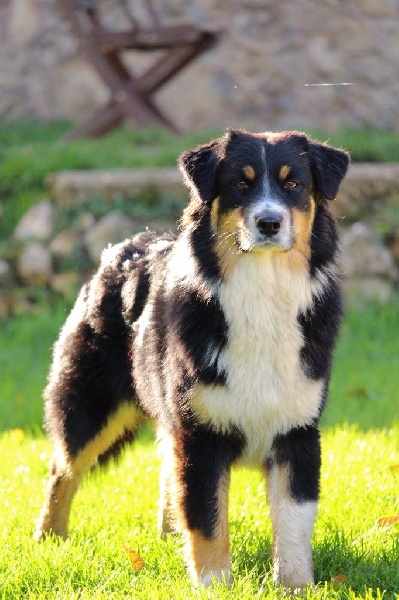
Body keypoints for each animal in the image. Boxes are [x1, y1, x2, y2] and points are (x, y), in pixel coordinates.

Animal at [36, 130, 350, 592]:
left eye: (293, 184)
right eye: (240, 183)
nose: (269, 223)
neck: (262, 291)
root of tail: (123, 247)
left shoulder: (297, 431)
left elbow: (294, 520)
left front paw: (296, 586)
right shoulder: (201, 434)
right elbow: (207, 518)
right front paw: (215, 586)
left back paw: (168, 537)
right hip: (91, 405)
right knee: (63, 469)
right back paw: (50, 539)